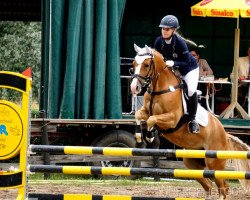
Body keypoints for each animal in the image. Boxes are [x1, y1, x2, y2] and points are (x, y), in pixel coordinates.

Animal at [130, 44, 250, 200]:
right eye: (133, 64)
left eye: (146, 64)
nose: (134, 88)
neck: (160, 88)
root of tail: (224, 134)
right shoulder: (145, 110)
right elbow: (139, 115)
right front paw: (140, 137)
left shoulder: (172, 119)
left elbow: (152, 119)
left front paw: (150, 135)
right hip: (192, 163)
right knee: (209, 185)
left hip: (214, 162)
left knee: (223, 187)